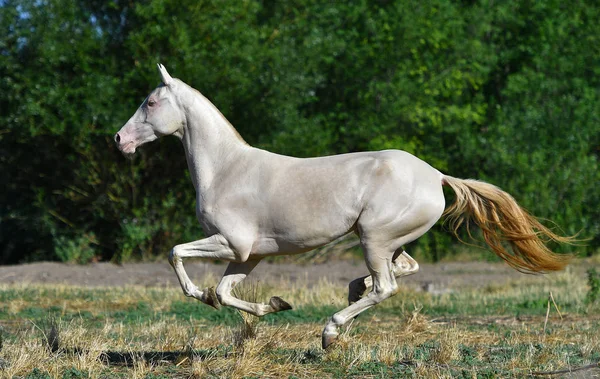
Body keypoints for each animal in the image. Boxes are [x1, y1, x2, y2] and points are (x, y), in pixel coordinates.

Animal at [116, 65, 572, 350]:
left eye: (151, 103)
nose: (120, 140)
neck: (227, 169)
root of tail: (436, 176)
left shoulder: (232, 243)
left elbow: (176, 254)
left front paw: (202, 294)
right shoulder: (250, 255)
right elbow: (228, 294)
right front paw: (274, 306)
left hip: (374, 238)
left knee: (388, 285)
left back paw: (331, 331)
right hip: (389, 241)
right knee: (402, 271)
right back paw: (352, 298)